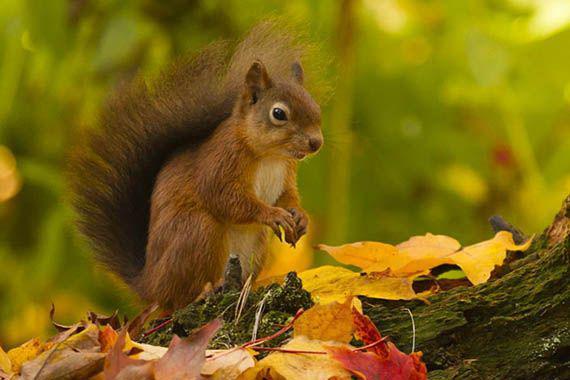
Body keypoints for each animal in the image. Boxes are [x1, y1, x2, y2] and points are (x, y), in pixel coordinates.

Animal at [69, 23, 322, 308]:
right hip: (197, 232)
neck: (271, 156)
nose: (316, 143)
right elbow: (225, 197)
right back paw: (205, 291)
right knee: (180, 296)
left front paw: (299, 216)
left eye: (314, 105)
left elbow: (287, 195)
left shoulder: (286, 172)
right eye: (278, 114)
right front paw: (272, 214)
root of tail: (150, 285)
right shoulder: (220, 162)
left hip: (256, 244)